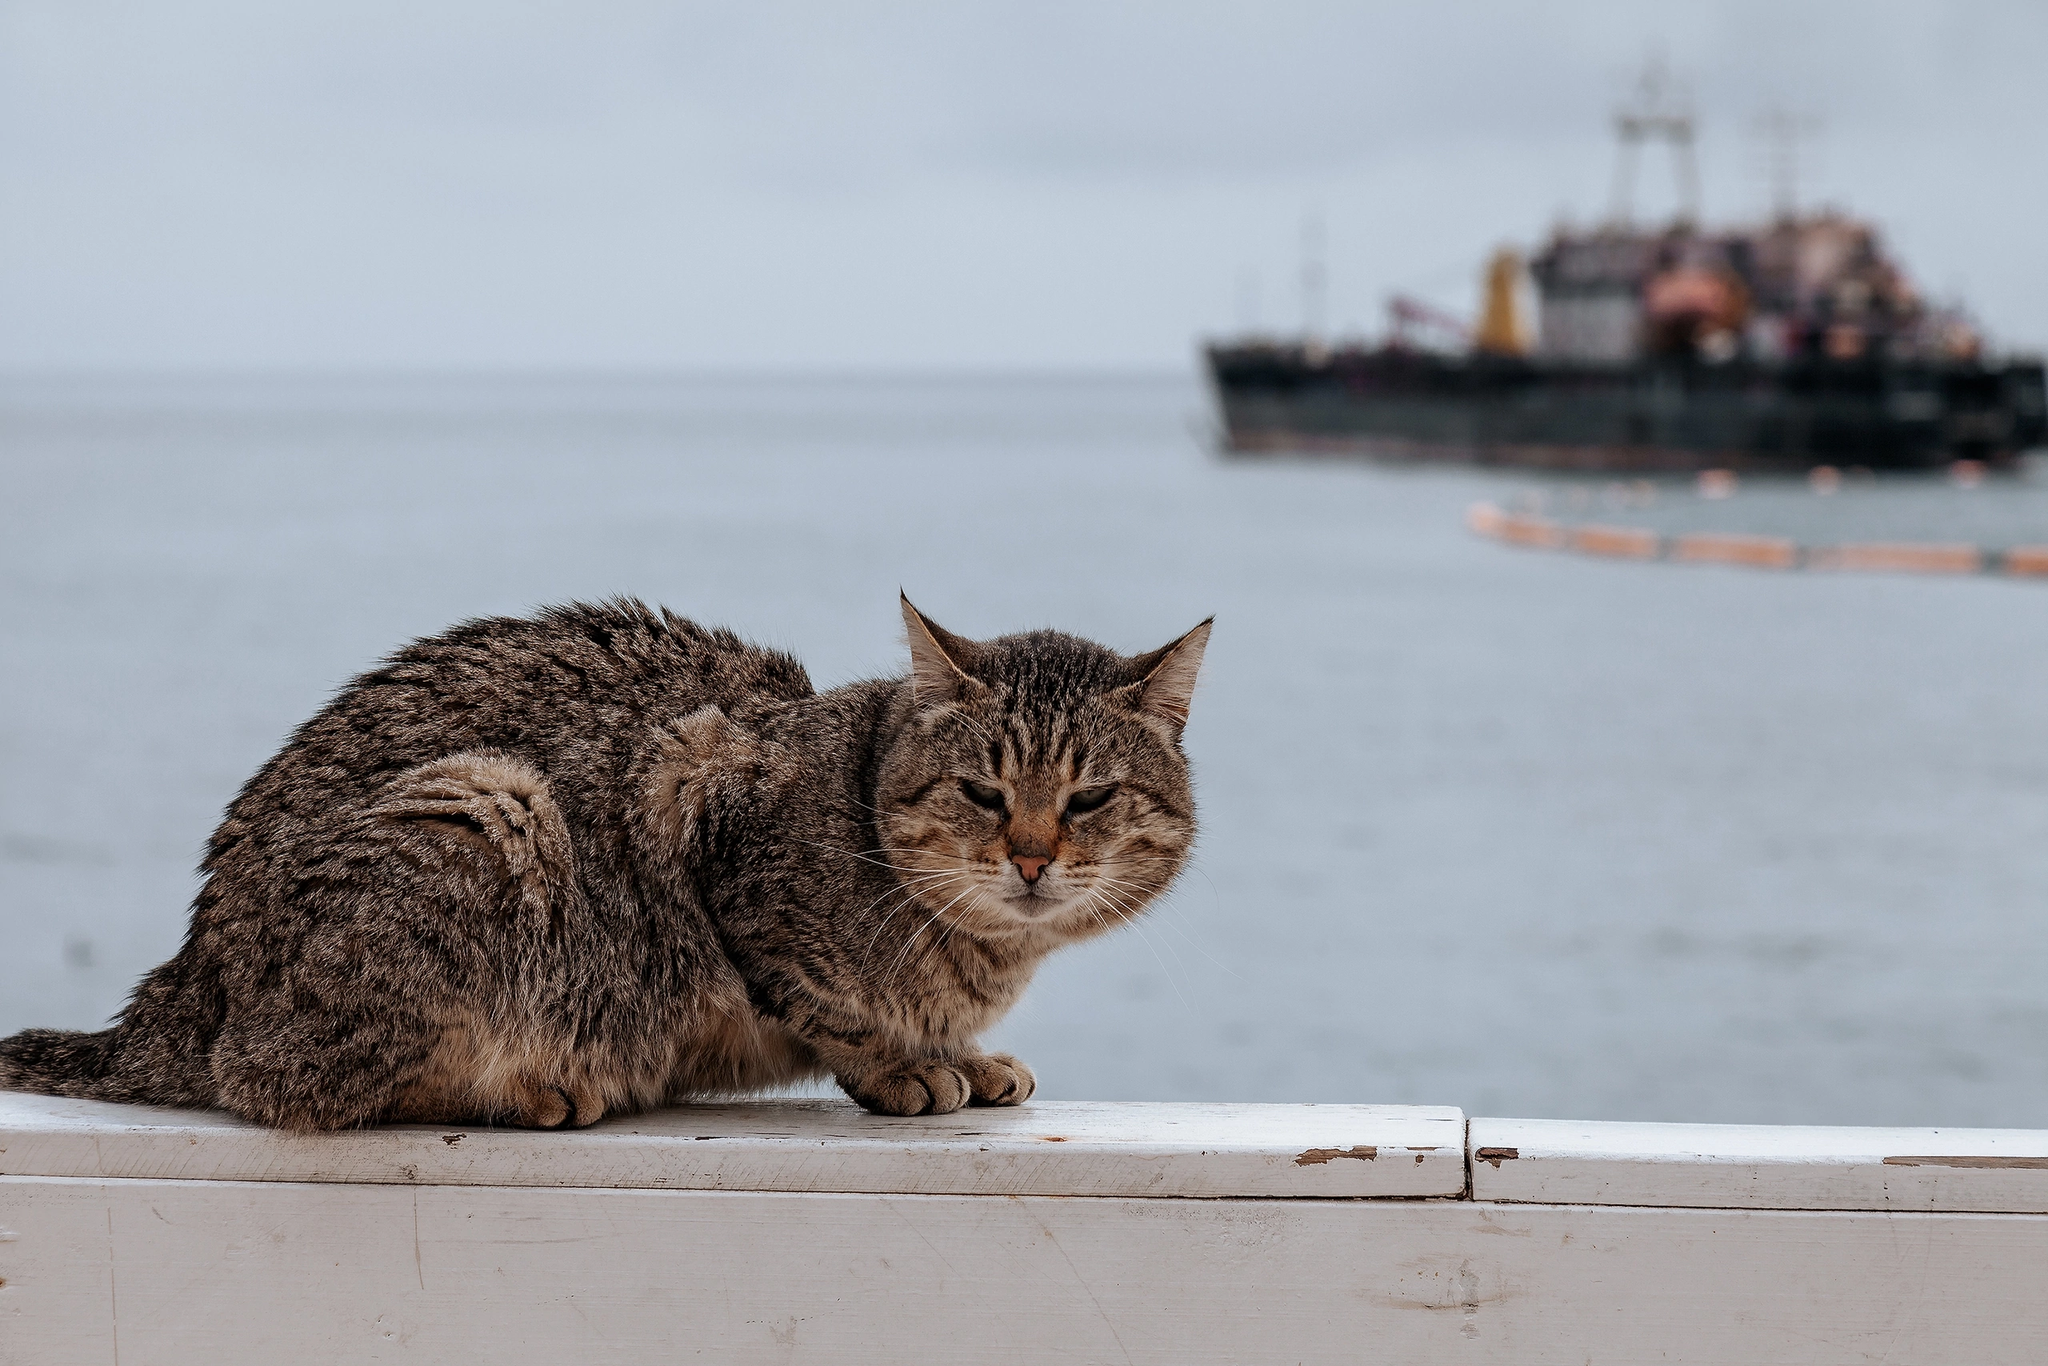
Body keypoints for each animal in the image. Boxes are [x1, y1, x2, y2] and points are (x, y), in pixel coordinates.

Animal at [0, 602, 1204, 1130]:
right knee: (277, 1082)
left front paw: (960, 1051)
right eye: (983, 794)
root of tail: (184, 983)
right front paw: (905, 1064)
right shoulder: (698, 796)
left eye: (1088, 798)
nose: (1032, 857)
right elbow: (828, 1006)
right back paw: (535, 1086)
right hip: (488, 803)